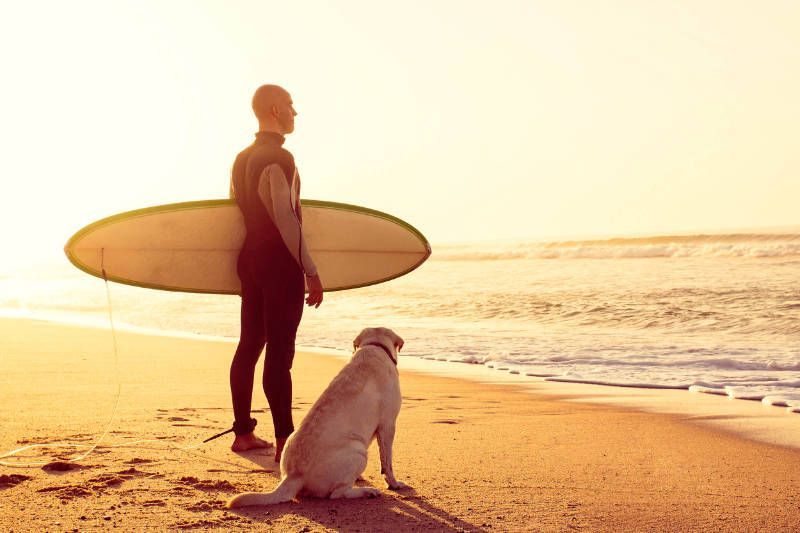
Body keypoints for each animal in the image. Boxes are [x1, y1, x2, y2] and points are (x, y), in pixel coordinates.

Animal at [227, 324, 410, 508]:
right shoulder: (388, 425)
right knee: (337, 494)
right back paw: (367, 492)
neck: (374, 346)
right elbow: (387, 463)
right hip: (358, 450)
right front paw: (394, 484)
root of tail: (294, 475)